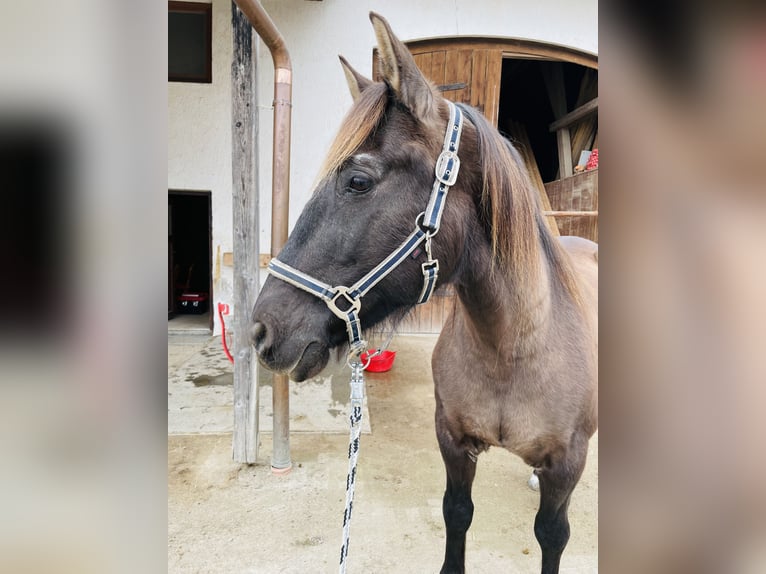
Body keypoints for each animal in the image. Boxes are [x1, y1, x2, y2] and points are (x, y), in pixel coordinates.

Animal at [252, 13, 600, 574]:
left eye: (358, 181)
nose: (261, 329)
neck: (513, 347)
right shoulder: (453, 443)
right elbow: (456, 514)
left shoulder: (567, 464)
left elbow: (553, 534)